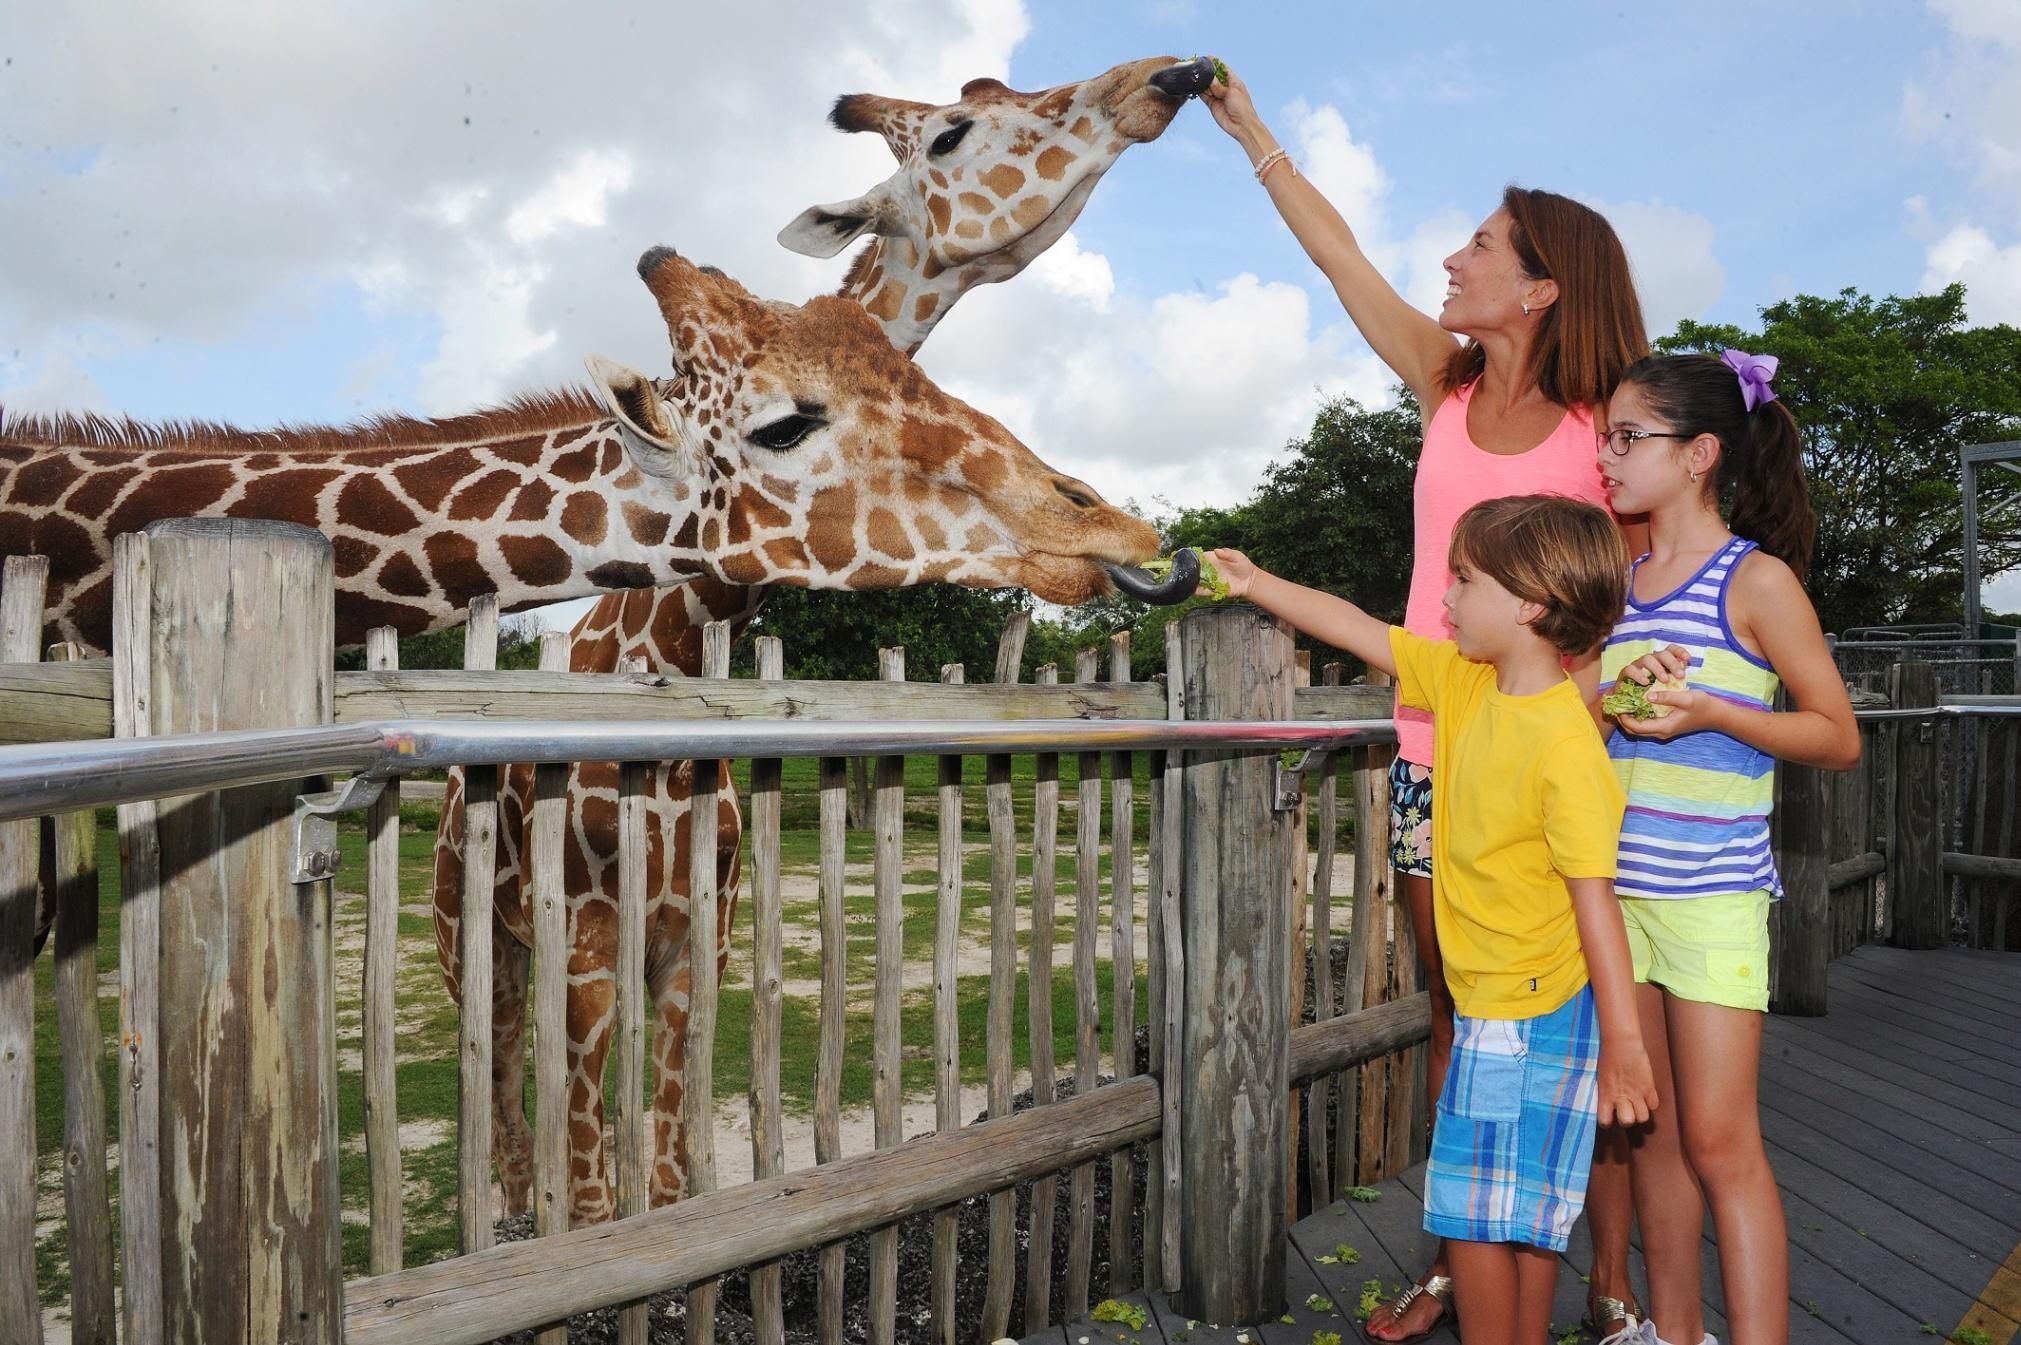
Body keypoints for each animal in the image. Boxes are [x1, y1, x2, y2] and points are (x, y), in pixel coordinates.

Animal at [430, 57, 1212, 1219]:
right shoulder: (589, 945)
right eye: (953, 130)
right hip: (468, 929)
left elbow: (671, 1167)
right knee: (499, 1076)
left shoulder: (695, 937)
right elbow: (598, 1183)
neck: (675, 641)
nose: (1171, 76)